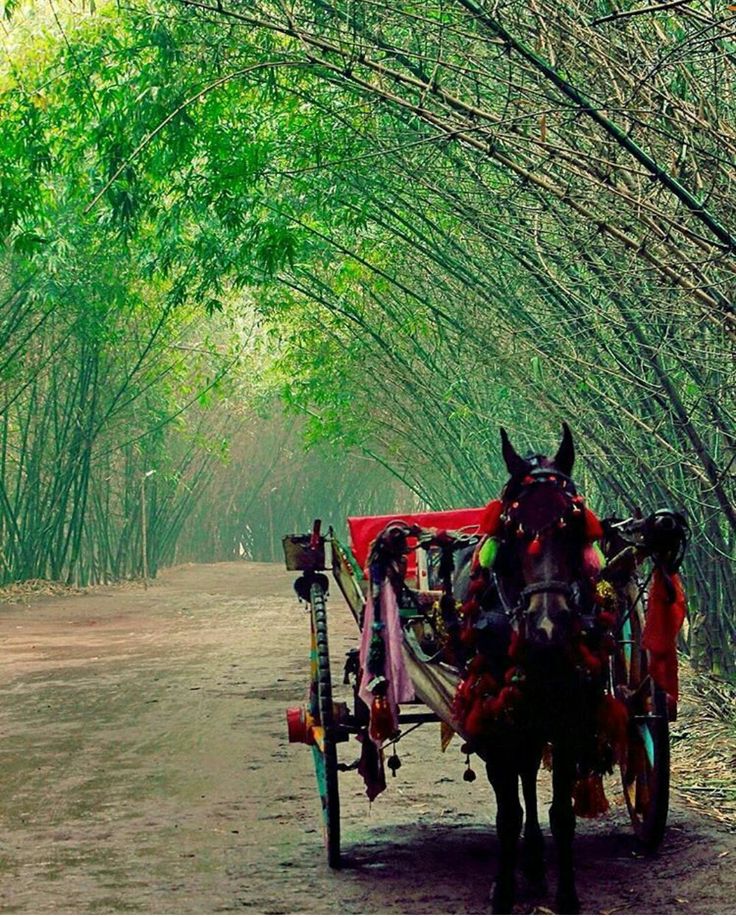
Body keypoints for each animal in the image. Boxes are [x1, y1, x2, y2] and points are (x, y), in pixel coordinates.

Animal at [454, 426, 608, 912]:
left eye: (573, 526)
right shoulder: (496, 722)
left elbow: (562, 813)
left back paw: (538, 862)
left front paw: (567, 894)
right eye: (514, 528)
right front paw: (502, 889)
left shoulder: (570, 718)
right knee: (521, 779)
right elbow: (508, 812)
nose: (547, 628)